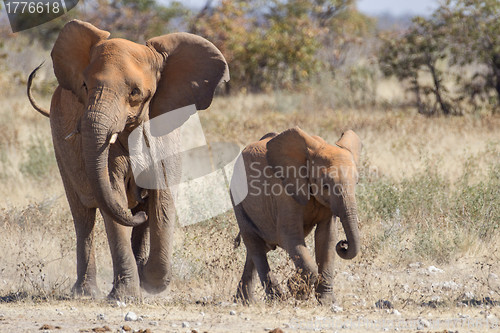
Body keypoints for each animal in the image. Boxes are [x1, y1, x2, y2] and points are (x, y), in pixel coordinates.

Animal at [28, 18, 228, 298]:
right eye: (85, 86)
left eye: (135, 92)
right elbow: (113, 194)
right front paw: (126, 295)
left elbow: (163, 198)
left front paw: (151, 284)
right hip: (60, 149)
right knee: (83, 217)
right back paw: (86, 292)